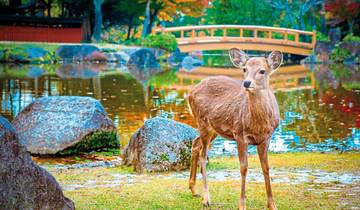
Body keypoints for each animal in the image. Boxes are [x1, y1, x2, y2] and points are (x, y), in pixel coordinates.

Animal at [187, 48, 282, 210]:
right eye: (244, 69)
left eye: (262, 70)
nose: (246, 83)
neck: (258, 124)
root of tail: (190, 92)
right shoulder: (239, 134)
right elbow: (244, 168)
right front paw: (242, 205)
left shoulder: (266, 137)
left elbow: (266, 167)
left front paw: (272, 205)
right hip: (202, 122)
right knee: (202, 156)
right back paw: (206, 198)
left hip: (213, 129)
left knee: (195, 143)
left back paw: (193, 190)